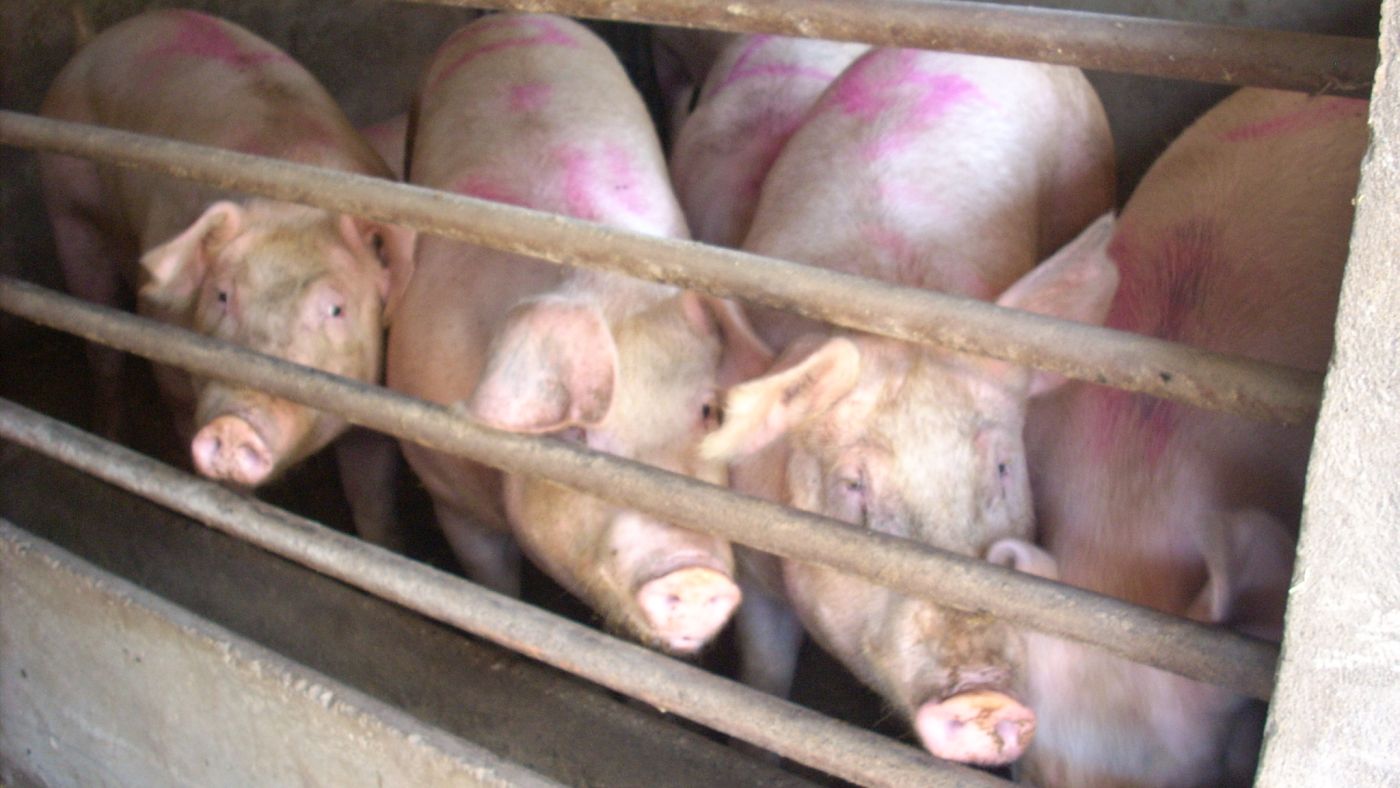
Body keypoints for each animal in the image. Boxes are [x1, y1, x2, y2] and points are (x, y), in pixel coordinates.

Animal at [37, 9, 415, 547]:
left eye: (336, 308)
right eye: (220, 295)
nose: (235, 423)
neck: (296, 196)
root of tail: (96, 41)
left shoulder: (375, 401)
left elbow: (372, 499)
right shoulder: (169, 355)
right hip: (68, 210)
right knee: (103, 351)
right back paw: (109, 438)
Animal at [385, 13, 771, 653]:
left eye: (707, 413)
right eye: (580, 435)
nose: (692, 575)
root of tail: (514, 14)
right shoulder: (447, 490)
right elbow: (491, 584)